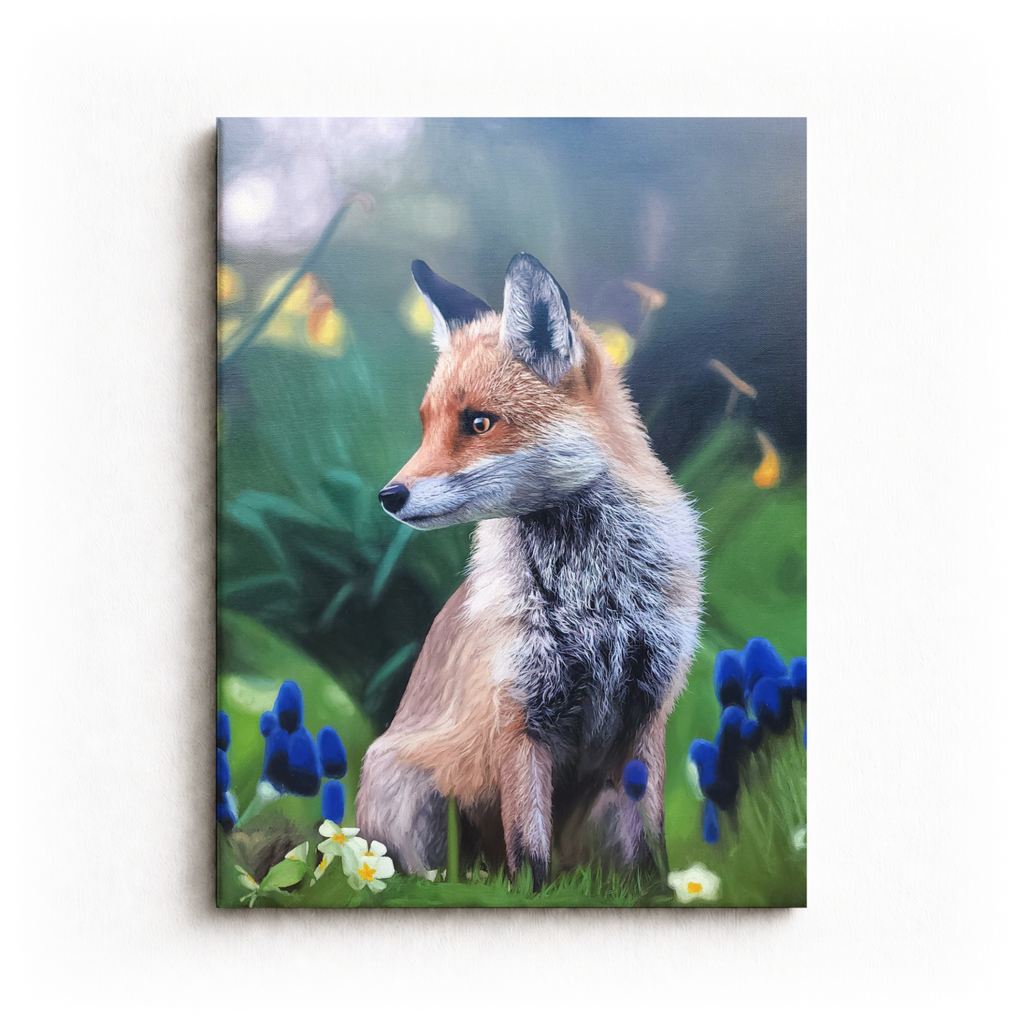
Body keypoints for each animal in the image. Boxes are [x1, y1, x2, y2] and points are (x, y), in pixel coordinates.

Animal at [355, 253, 703, 890]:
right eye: (426, 424)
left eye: (478, 423)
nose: (389, 497)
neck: (592, 593)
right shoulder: (521, 711)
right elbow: (528, 851)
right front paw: (530, 898)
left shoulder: (649, 708)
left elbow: (650, 846)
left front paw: (658, 894)